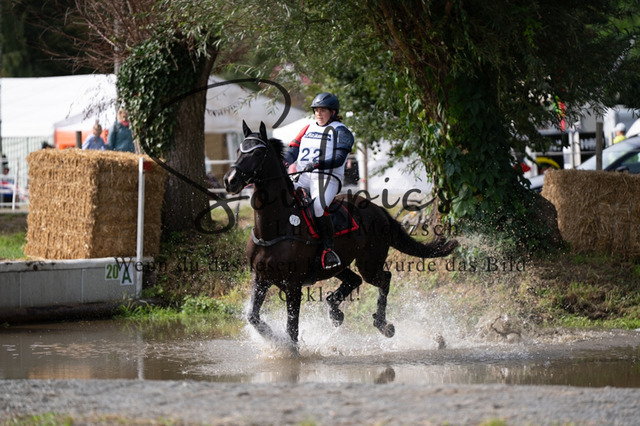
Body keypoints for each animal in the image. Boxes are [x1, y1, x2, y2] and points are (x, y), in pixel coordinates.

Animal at [223, 121, 458, 346]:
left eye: (257, 153)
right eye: (237, 150)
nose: (230, 181)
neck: (274, 228)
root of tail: (377, 209)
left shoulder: (293, 285)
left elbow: (292, 330)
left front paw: (288, 350)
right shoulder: (261, 278)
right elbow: (253, 317)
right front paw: (274, 339)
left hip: (369, 263)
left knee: (384, 279)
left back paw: (383, 325)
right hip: (339, 264)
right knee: (355, 280)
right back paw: (336, 313)